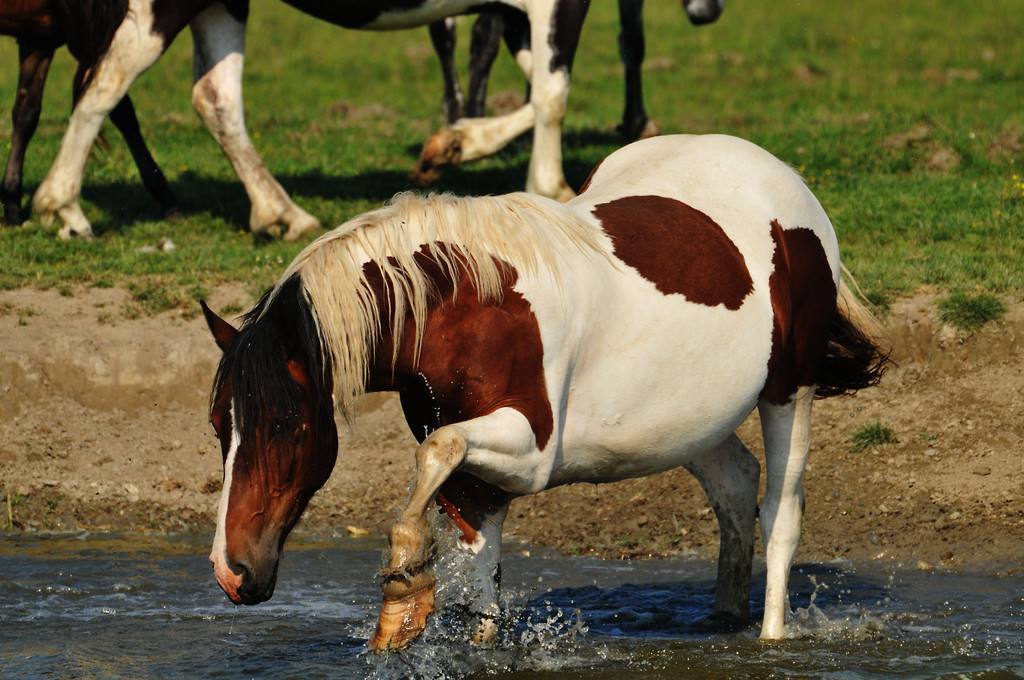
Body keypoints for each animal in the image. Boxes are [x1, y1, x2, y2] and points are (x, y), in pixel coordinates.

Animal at [0, 0, 174, 229]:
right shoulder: (86, 35)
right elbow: (120, 109)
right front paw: (165, 196)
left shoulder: (39, 37)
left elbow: (26, 114)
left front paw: (12, 207)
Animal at [29, 0, 593, 241]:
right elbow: (552, 94)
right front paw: (554, 189)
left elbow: (540, 89)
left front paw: (453, 144)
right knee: (106, 81)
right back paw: (64, 207)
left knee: (215, 97)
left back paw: (282, 213)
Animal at [201, 133, 888, 647]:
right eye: (218, 427)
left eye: (286, 426)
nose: (232, 572)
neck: (467, 304)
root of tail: (783, 178)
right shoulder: (477, 484)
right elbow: (482, 582)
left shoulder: (528, 453)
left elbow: (434, 454)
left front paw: (402, 588)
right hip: (691, 422)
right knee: (736, 487)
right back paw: (723, 619)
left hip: (790, 394)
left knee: (781, 514)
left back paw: (769, 634)